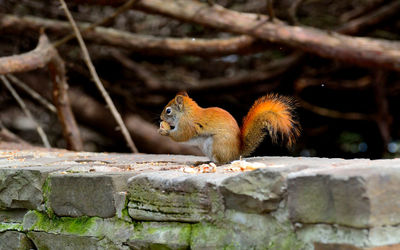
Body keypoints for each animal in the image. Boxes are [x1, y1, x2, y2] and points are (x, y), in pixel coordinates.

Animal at [158, 92, 298, 164]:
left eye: (168, 111)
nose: (160, 117)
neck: (187, 113)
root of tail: (236, 153)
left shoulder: (187, 125)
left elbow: (180, 136)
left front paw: (165, 131)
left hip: (217, 145)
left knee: (222, 162)